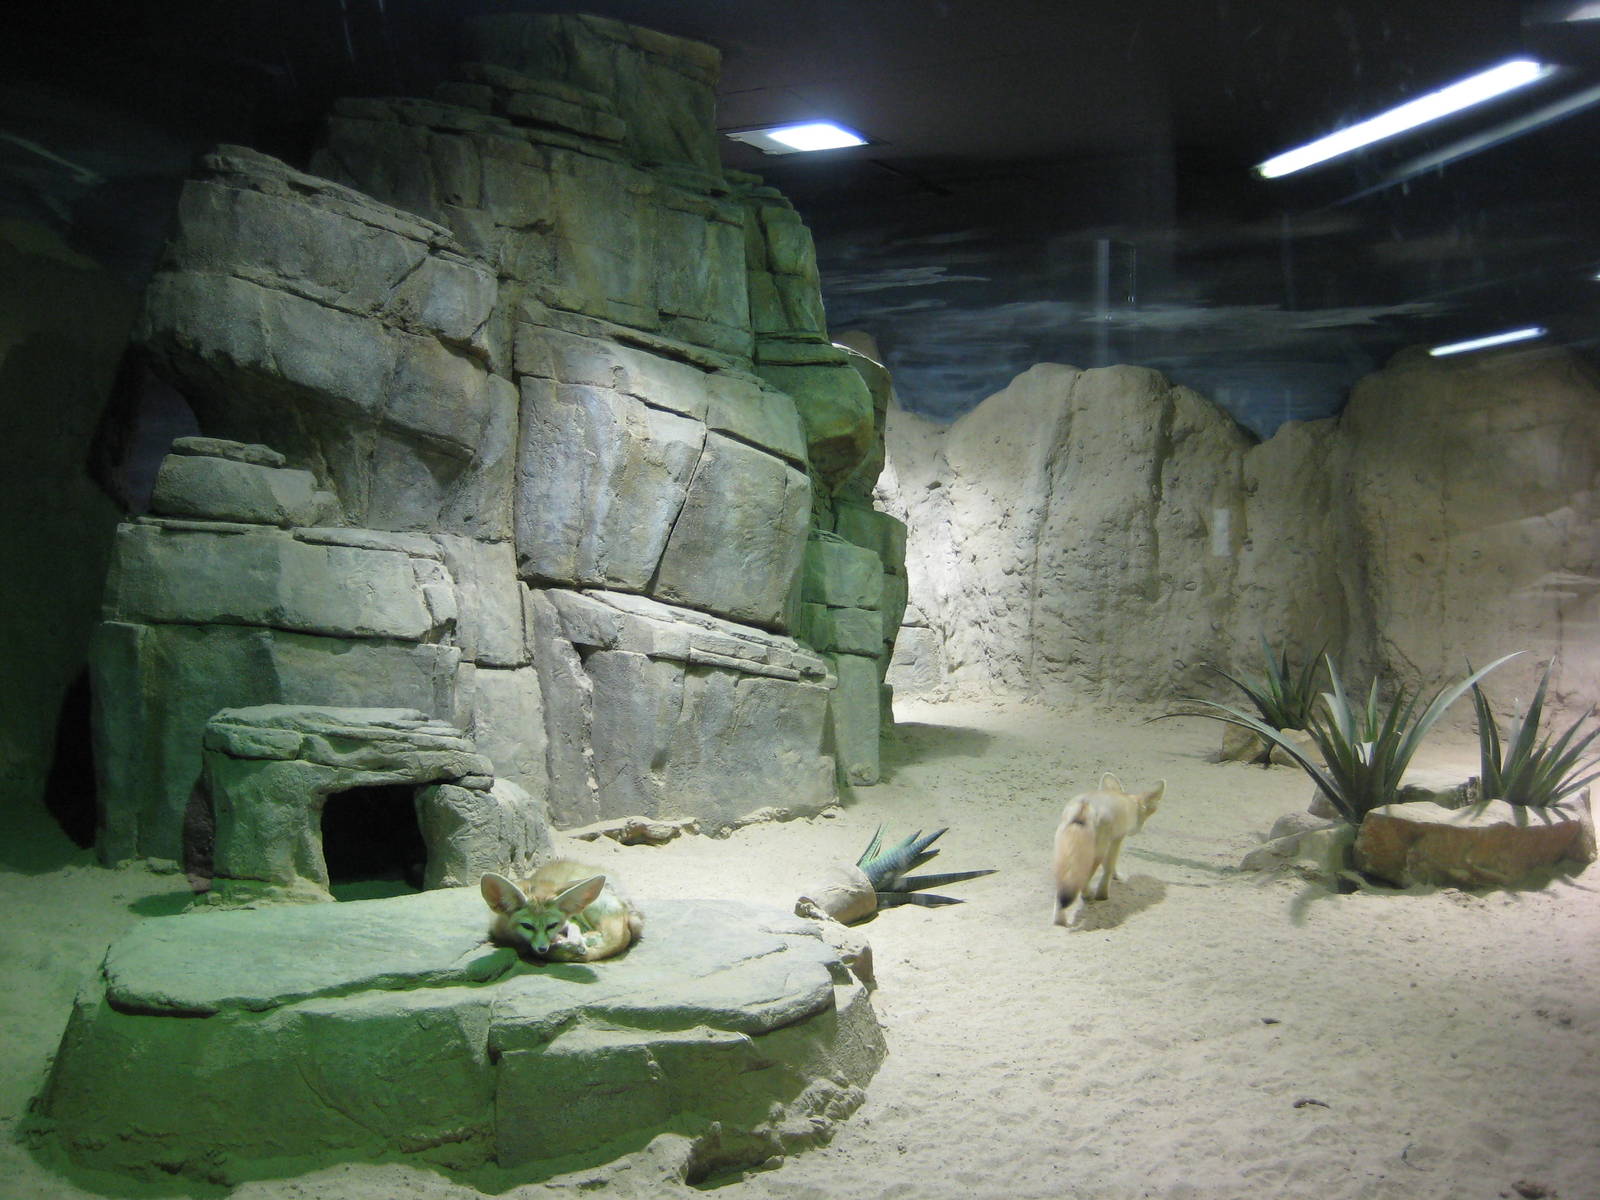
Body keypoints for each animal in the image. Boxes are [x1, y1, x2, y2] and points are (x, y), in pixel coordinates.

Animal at [480, 859, 643, 962]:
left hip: (587, 911)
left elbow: (574, 931)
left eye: (552, 925)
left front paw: (573, 943)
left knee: (607, 937)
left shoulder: (568, 920)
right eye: (527, 926)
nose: (542, 949)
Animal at [1052, 772, 1165, 929]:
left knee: (1060, 892)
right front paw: (1103, 894)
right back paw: (1088, 895)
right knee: (1082, 880)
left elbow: (1110, 867)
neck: (1126, 800)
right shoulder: (1117, 839)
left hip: (1063, 857)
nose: (1140, 829)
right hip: (1095, 854)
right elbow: (1109, 867)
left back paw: (1059, 921)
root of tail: (1084, 805)